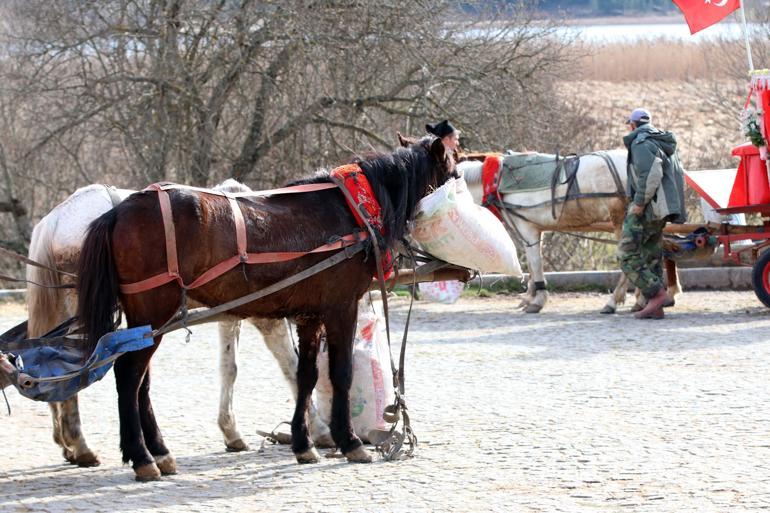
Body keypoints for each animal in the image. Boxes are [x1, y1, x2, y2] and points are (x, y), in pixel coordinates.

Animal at [23, 182, 330, 466]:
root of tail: (54, 221)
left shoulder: (230, 315)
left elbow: (229, 369)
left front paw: (231, 431)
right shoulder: (267, 318)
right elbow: (292, 367)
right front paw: (317, 431)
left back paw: (69, 444)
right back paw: (84, 446)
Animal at [75, 137, 452, 480]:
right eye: (452, 166)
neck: (350, 211)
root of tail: (119, 210)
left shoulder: (309, 315)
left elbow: (305, 375)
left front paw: (303, 444)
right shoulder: (341, 307)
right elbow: (340, 374)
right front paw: (349, 441)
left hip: (147, 321)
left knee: (142, 382)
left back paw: (159, 452)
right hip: (154, 311)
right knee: (129, 376)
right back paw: (142, 457)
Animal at [456, 149, 680, 312]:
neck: (496, 181)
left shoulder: (528, 230)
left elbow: (535, 263)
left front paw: (537, 300)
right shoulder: (535, 230)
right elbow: (532, 264)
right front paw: (529, 296)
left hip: (622, 223)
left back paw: (614, 301)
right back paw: (645, 299)